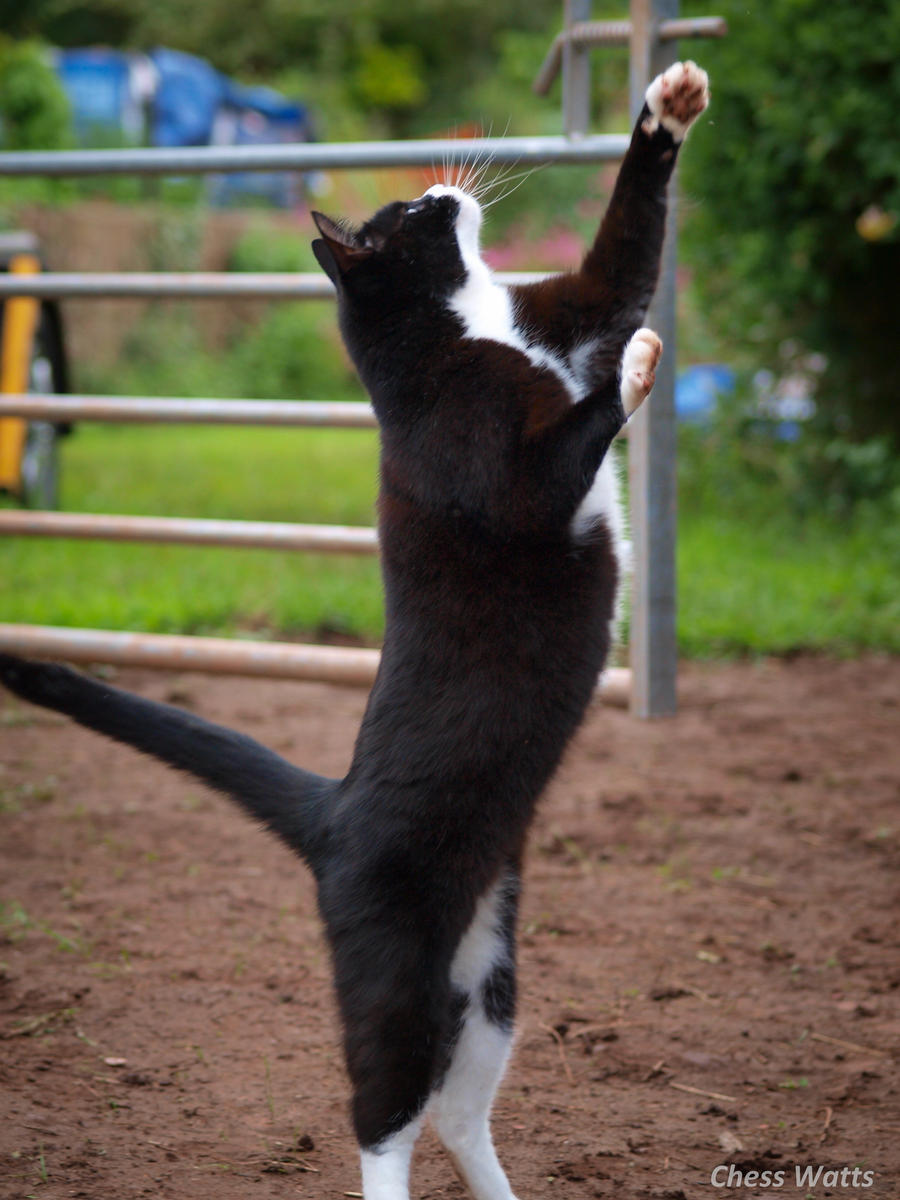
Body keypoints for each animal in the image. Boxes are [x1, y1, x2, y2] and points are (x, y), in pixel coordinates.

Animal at [0, 63, 710, 1200]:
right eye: (413, 217)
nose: (445, 187)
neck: (467, 330)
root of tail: (331, 813)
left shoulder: (569, 310)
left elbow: (624, 259)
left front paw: (670, 104)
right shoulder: (501, 476)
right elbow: (582, 418)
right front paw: (639, 372)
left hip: (489, 971)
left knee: (458, 1110)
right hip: (395, 971)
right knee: (380, 1119)